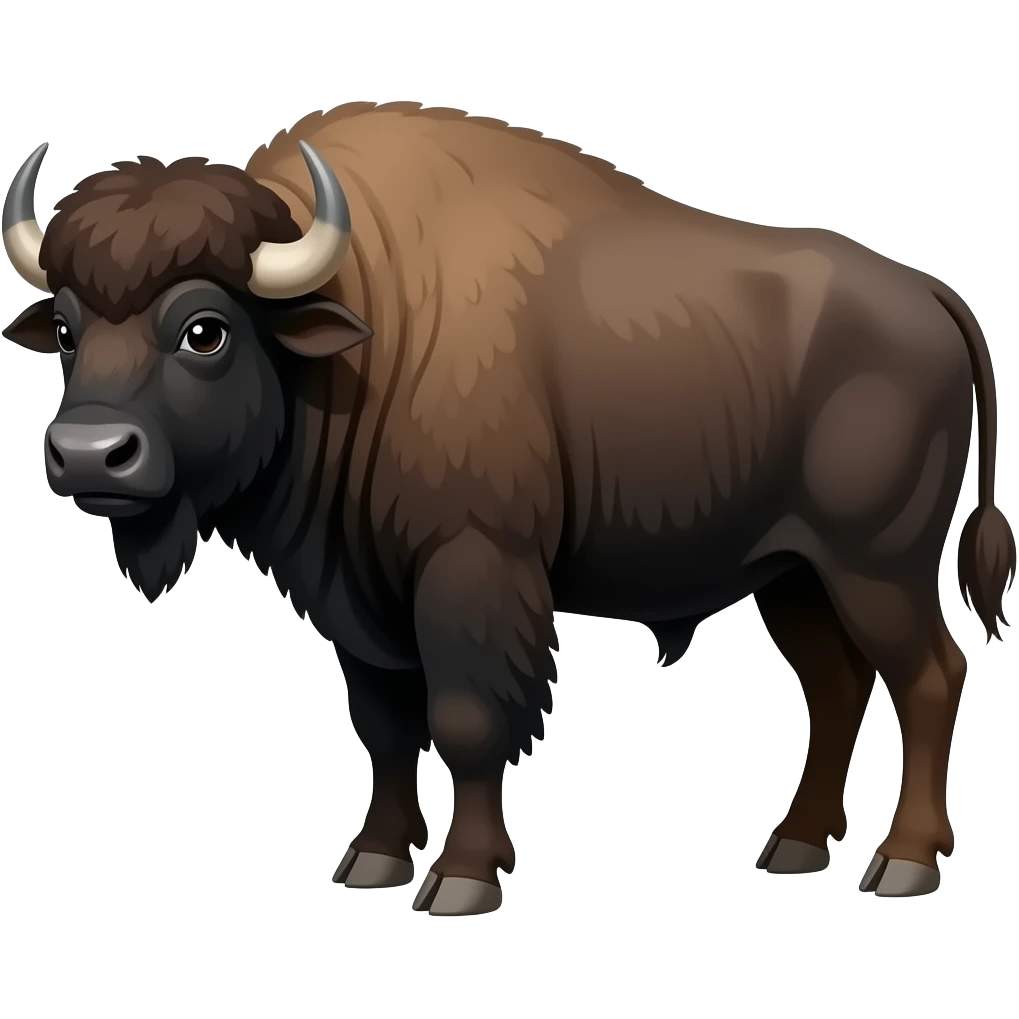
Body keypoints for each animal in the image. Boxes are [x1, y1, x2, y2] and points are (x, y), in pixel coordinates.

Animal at [2, 101, 1014, 915]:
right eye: (67, 330)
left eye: (204, 329)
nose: (88, 453)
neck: (366, 322)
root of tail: (930, 293)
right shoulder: (357, 599)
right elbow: (384, 725)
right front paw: (372, 861)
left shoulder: (471, 566)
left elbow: (466, 719)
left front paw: (460, 878)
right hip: (793, 576)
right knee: (836, 685)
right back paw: (794, 846)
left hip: (876, 566)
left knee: (929, 675)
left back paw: (903, 864)